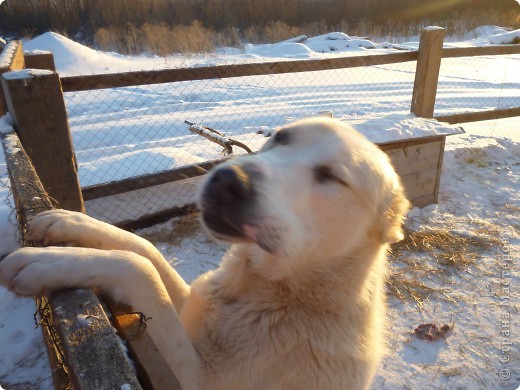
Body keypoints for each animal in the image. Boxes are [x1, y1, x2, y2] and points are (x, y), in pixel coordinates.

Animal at [0, 117, 410, 388]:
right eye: (280, 138)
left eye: (333, 177)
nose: (229, 180)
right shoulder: (190, 307)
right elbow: (147, 252)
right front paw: (69, 222)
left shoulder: (199, 379)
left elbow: (141, 271)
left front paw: (46, 263)